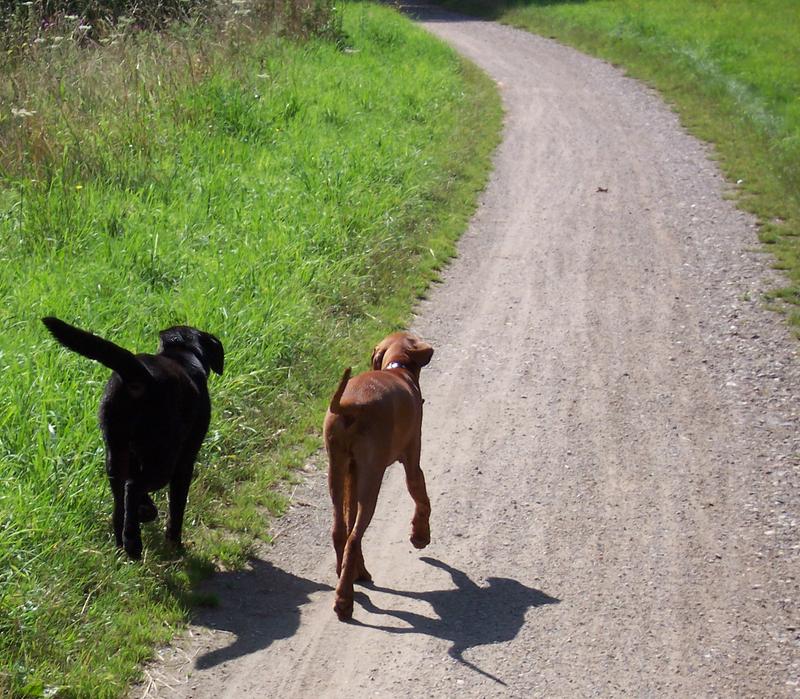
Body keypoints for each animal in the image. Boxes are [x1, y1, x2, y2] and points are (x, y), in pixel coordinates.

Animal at [42, 316, 223, 556]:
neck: (183, 355)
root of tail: (140, 376)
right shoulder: (185, 461)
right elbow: (176, 508)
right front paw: (175, 543)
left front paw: (145, 510)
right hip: (164, 458)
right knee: (133, 487)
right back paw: (133, 542)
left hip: (115, 453)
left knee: (121, 499)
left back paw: (124, 541)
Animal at [322, 330, 434, 620]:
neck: (397, 368)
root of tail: (349, 405)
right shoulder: (412, 460)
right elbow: (422, 498)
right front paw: (420, 536)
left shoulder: (352, 474)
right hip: (371, 480)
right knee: (353, 537)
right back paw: (344, 601)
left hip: (337, 470)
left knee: (341, 530)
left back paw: (347, 575)